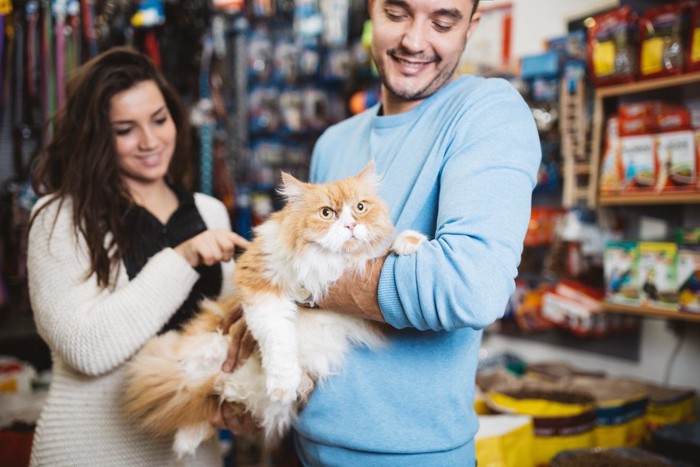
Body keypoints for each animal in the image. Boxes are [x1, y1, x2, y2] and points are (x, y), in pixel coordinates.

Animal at [123, 163, 426, 458]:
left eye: (361, 207)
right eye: (327, 213)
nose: (351, 224)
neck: (332, 264)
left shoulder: (374, 308)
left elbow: (384, 250)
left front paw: (409, 241)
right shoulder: (259, 283)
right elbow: (278, 338)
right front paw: (283, 384)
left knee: (204, 400)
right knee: (192, 393)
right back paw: (186, 439)